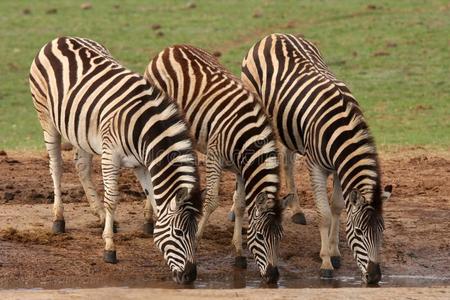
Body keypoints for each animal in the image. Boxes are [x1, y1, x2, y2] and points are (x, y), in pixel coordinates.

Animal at [28, 37, 202, 284]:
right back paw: (59, 220)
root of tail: (60, 38)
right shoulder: (111, 156)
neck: (143, 130)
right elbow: (113, 199)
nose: (190, 276)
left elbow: (154, 200)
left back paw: (100, 216)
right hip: (46, 118)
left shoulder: (142, 164)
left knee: (81, 167)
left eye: (196, 231)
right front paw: (110, 248)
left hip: (81, 132)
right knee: (56, 167)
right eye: (178, 233)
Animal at [142, 44, 294, 284]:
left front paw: (239, 253)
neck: (247, 138)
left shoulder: (242, 169)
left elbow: (240, 205)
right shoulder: (215, 156)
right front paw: (195, 240)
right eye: (261, 236)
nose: (272, 277)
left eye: (280, 236)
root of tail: (173, 47)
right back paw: (149, 220)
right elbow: (212, 202)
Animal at [241, 33, 392, 284]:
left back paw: (297, 211)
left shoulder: (341, 168)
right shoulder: (316, 167)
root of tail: (275, 35)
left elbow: (338, 207)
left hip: (289, 130)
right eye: (359, 232)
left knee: (287, 161)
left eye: (381, 231)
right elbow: (324, 215)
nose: (374, 277)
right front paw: (326, 263)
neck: (342, 130)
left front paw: (335, 252)